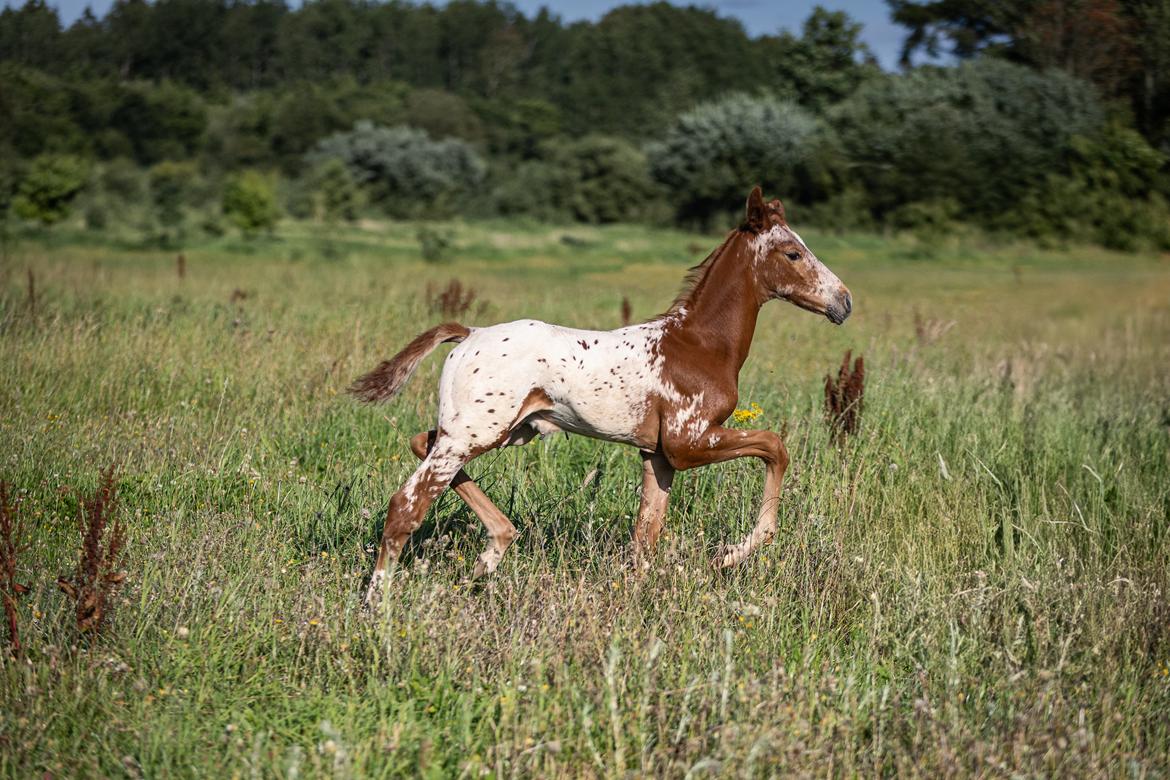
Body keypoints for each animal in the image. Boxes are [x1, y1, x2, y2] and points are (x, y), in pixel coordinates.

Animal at [351, 185, 856, 603]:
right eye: (793, 253)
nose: (844, 301)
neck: (699, 344)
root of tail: (469, 333)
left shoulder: (659, 456)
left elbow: (646, 534)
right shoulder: (688, 441)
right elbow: (775, 446)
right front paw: (731, 554)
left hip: (497, 431)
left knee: (421, 442)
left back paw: (492, 552)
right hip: (474, 434)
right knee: (405, 505)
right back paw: (379, 604)